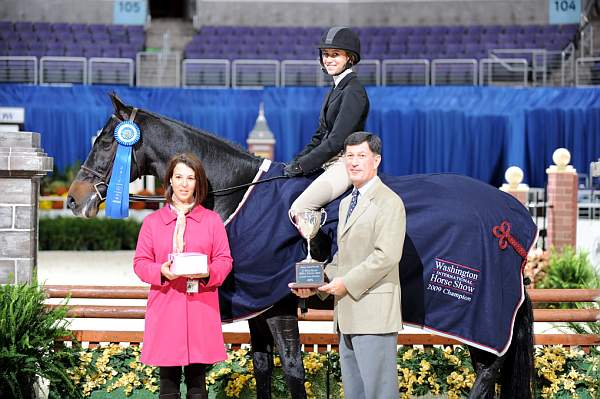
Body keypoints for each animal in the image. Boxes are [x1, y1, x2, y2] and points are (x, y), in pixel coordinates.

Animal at [68, 92, 536, 398]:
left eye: (107, 140)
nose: (74, 199)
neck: (239, 192)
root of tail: (512, 221)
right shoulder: (257, 305)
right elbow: (261, 367)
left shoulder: (277, 304)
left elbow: (291, 369)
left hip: (477, 313)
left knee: (488, 368)